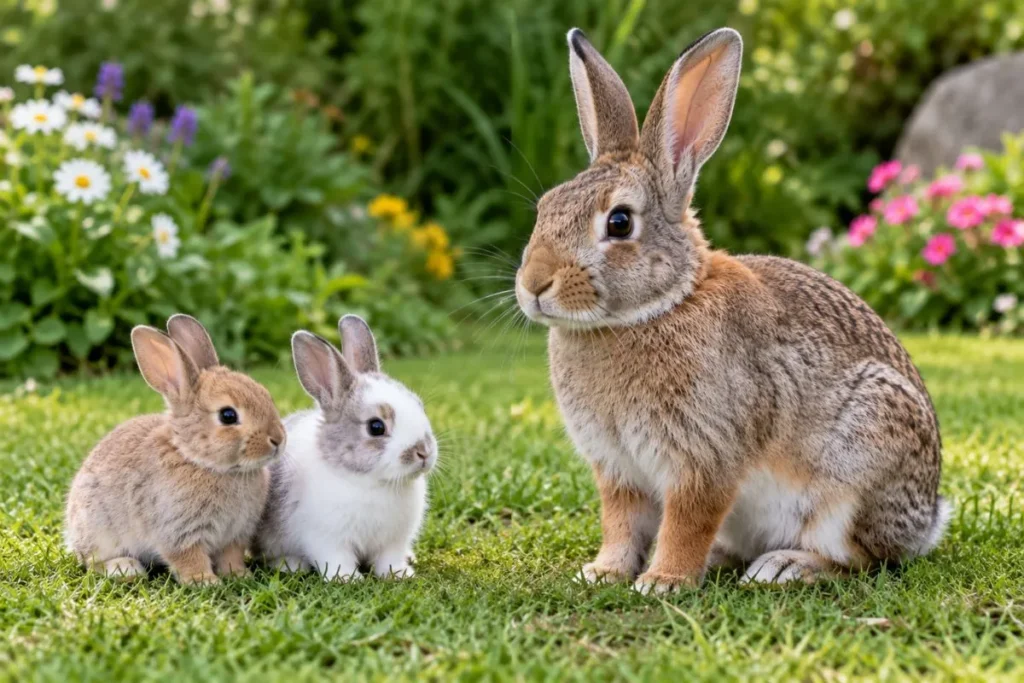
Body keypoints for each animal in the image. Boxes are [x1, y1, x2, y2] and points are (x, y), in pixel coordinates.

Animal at [64, 314, 286, 585]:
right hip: (99, 532)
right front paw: (204, 581)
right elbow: (188, 557)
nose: (278, 439)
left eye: (267, 396)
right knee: (92, 561)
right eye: (228, 415)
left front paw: (239, 575)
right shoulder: (178, 530)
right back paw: (125, 568)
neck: (200, 461)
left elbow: (230, 556)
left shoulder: (235, 534)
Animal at [255, 315, 436, 582]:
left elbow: (388, 559)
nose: (424, 451)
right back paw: (291, 566)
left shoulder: (393, 542)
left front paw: (400, 574)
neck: (372, 483)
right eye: (376, 427)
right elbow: (337, 559)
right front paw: (347, 579)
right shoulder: (327, 539)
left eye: (419, 405)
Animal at [514, 28, 949, 593]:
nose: (533, 285)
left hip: (856, 473)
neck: (657, 307)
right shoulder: (618, 469)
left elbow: (689, 519)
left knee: (862, 557)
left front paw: (664, 580)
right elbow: (621, 523)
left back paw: (786, 566)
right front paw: (603, 572)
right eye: (546, 207)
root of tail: (926, 522)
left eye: (619, 222)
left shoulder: (705, 456)